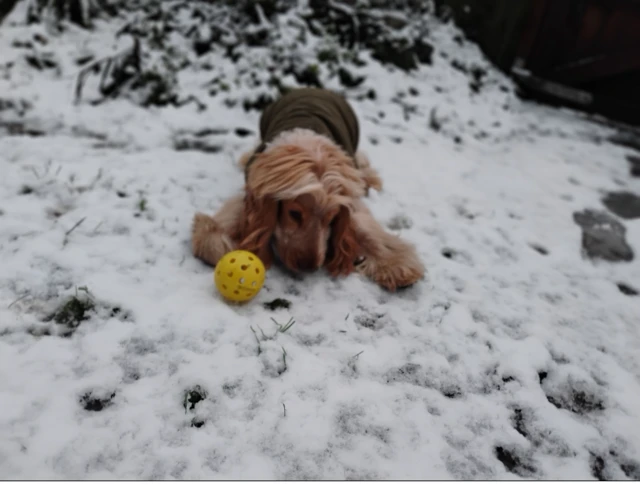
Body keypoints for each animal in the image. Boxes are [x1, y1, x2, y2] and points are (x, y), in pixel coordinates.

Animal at [190, 86, 424, 290]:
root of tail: (313, 88)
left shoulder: (347, 195)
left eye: (332, 219)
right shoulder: (257, 185)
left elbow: (364, 228)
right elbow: (220, 227)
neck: (308, 147)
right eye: (294, 213)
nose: (308, 267)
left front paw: (396, 265)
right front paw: (222, 242)